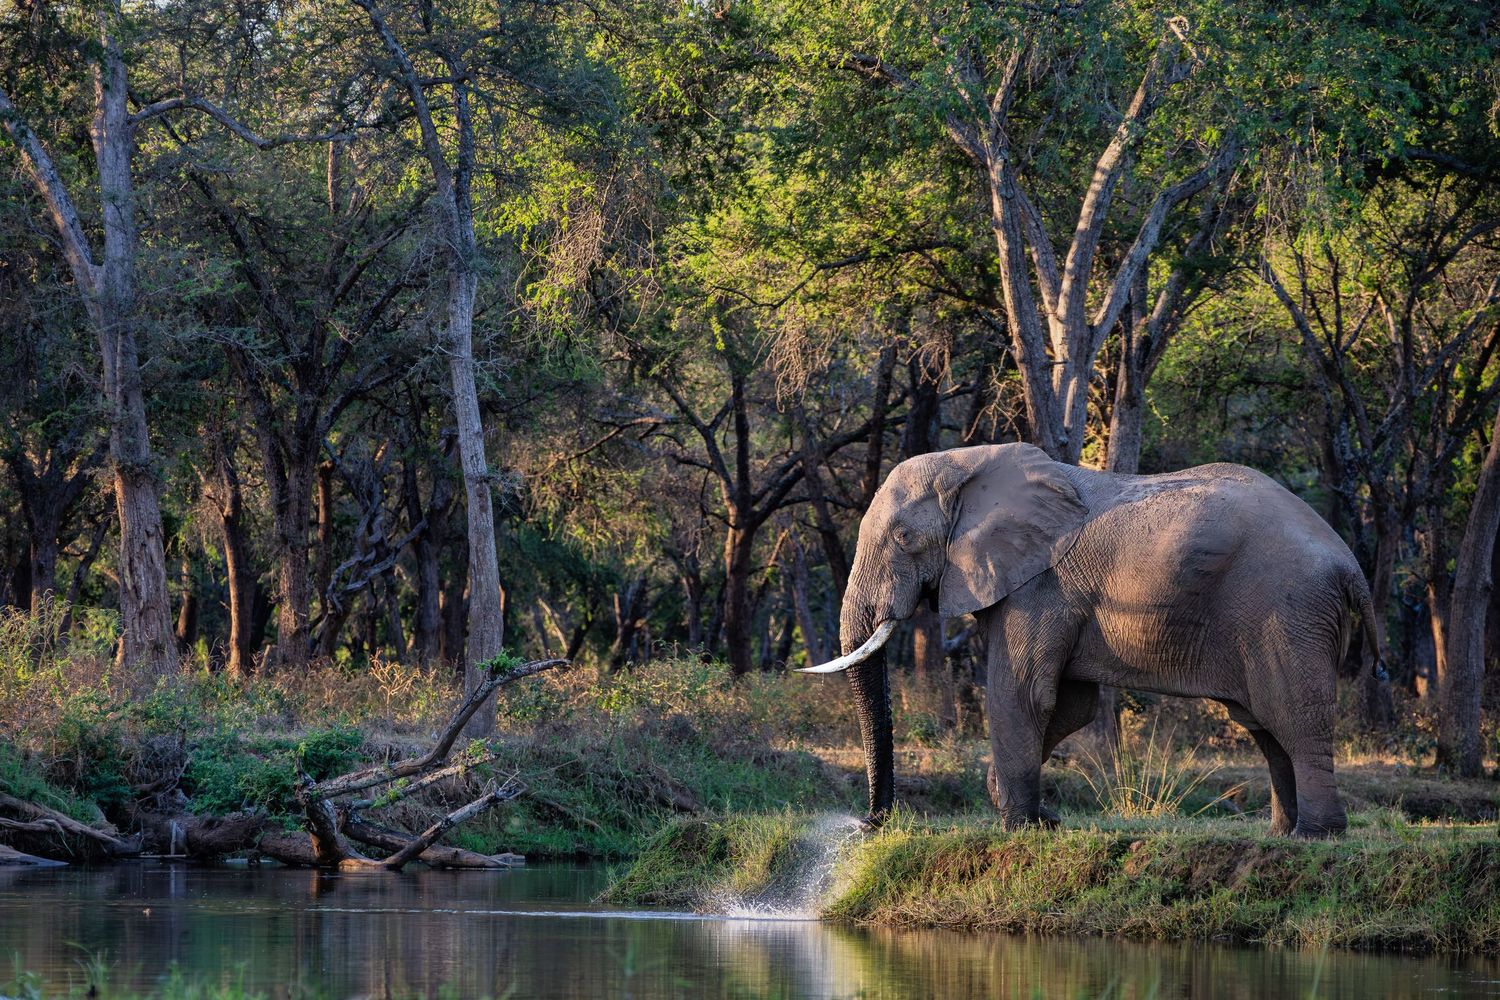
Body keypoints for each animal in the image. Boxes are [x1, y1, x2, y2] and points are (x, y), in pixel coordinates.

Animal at [800, 442, 1381, 839]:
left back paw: (1316, 836)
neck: (970, 462)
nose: (869, 824)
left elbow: (1024, 695)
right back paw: (1282, 833)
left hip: (1289, 611)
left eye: (903, 539)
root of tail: (1350, 562)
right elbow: (1070, 704)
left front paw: (1018, 826)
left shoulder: (1039, 585)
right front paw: (1039, 816)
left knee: (1294, 715)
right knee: (1264, 723)